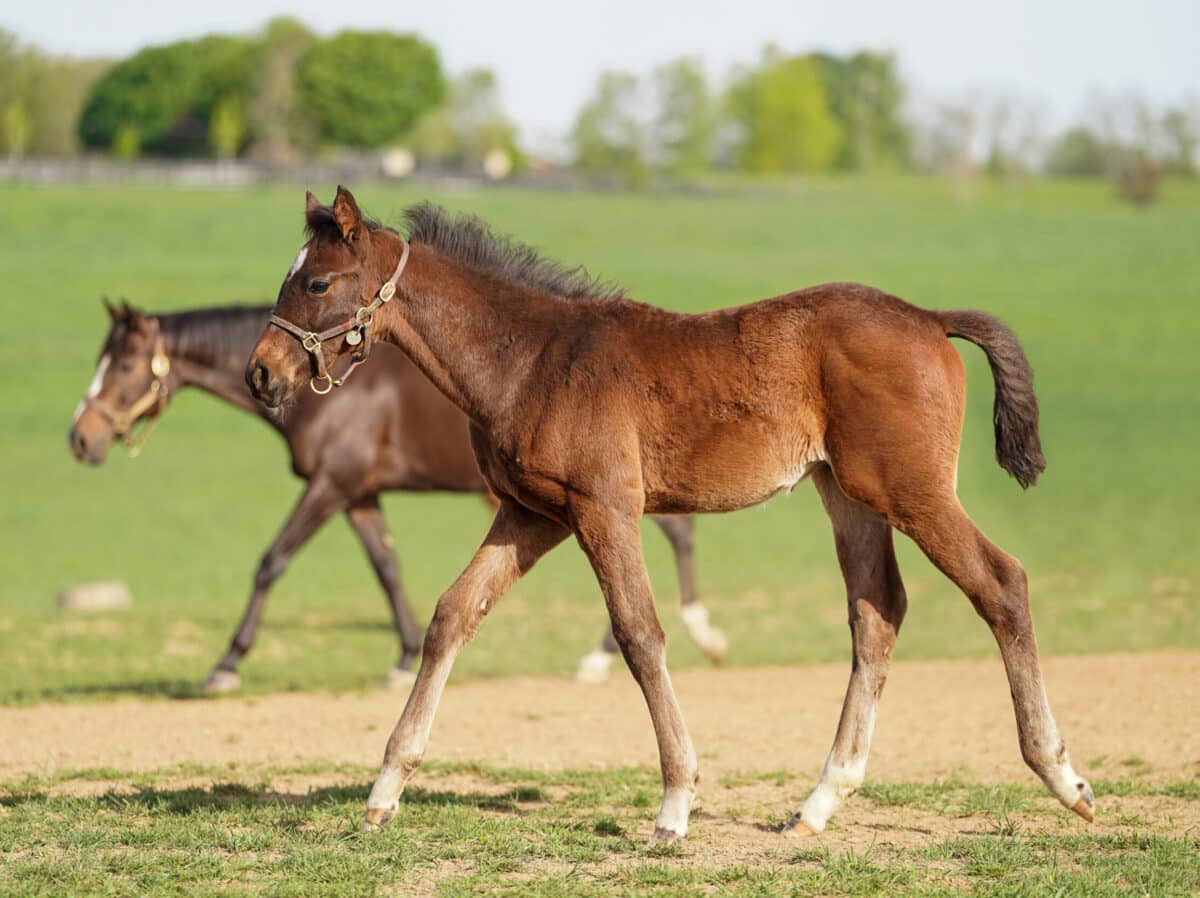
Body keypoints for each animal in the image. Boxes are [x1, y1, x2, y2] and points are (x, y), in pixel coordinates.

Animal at [68, 301, 720, 696]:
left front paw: (226, 665)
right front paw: (404, 656)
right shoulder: (359, 495)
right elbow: (386, 567)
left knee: (674, 538)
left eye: (124, 363)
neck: (328, 392)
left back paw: (681, 636)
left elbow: (272, 561)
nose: (81, 437)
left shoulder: (330, 486)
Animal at [246, 189, 1099, 840]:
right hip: (848, 496)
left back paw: (1063, 777)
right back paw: (819, 801)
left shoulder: (604, 508)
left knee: (1001, 583)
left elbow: (639, 633)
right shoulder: (531, 515)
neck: (530, 359)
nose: (262, 373)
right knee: (877, 614)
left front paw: (676, 803)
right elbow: (453, 615)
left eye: (315, 284)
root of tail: (928, 316)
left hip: (913, 491)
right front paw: (384, 790)